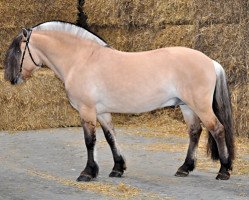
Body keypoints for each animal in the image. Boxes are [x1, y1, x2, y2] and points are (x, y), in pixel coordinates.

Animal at [3, 21, 234, 182]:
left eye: (18, 50)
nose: (11, 79)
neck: (81, 60)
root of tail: (210, 61)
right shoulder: (102, 112)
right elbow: (110, 137)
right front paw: (117, 168)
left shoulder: (87, 111)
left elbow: (90, 141)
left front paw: (88, 173)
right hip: (186, 106)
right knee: (195, 131)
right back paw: (184, 168)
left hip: (200, 106)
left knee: (217, 129)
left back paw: (223, 170)